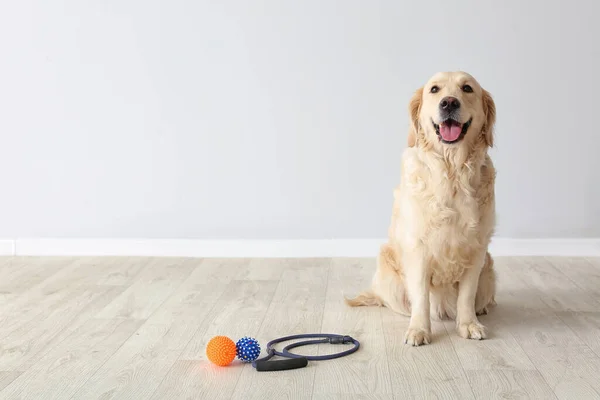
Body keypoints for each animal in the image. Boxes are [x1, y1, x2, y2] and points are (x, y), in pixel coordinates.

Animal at [346, 72, 496, 346]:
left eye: (467, 88)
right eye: (434, 90)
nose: (449, 103)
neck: (452, 171)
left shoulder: (477, 249)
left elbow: (467, 295)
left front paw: (468, 325)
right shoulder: (418, 248)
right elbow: (421, 297)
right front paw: (419, 330)